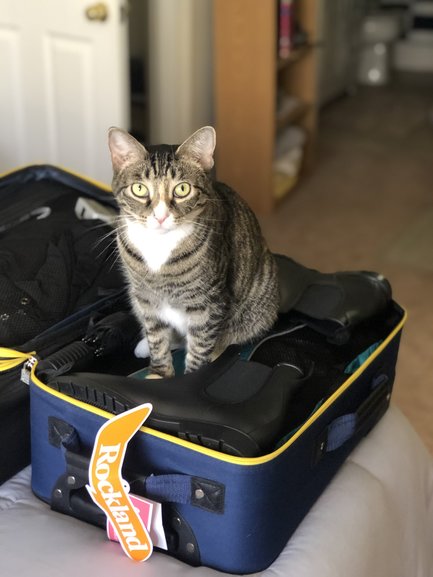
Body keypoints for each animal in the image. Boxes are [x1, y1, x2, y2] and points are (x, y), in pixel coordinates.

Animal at [107, 126, 276, 378]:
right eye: (139, 189)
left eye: (182, 189)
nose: (160, 216)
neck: (159, 245)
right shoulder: (147, 299)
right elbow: (157, 338)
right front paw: (159, 374)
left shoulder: (208, 303)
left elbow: (199, 347)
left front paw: (192, 377)